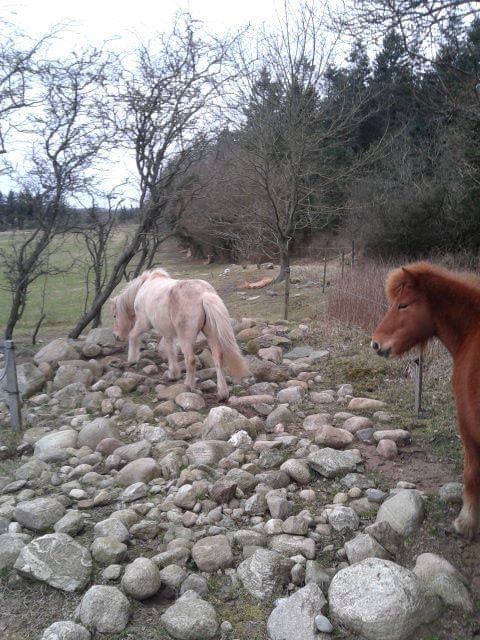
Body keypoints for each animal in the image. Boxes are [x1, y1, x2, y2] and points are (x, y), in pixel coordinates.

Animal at [110, 268, 249, 400]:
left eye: (114, 315)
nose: (116, 336)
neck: (143, 287)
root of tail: (204, 293)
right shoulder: (167, 332)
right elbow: (169, 349)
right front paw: (173, 374)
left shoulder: (143, 323)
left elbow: (133, 335)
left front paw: (132, 359)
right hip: (211, 335)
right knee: (217, 358)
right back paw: (222, 393)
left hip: (186, 338)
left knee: (190, 360)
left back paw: (188, 385)